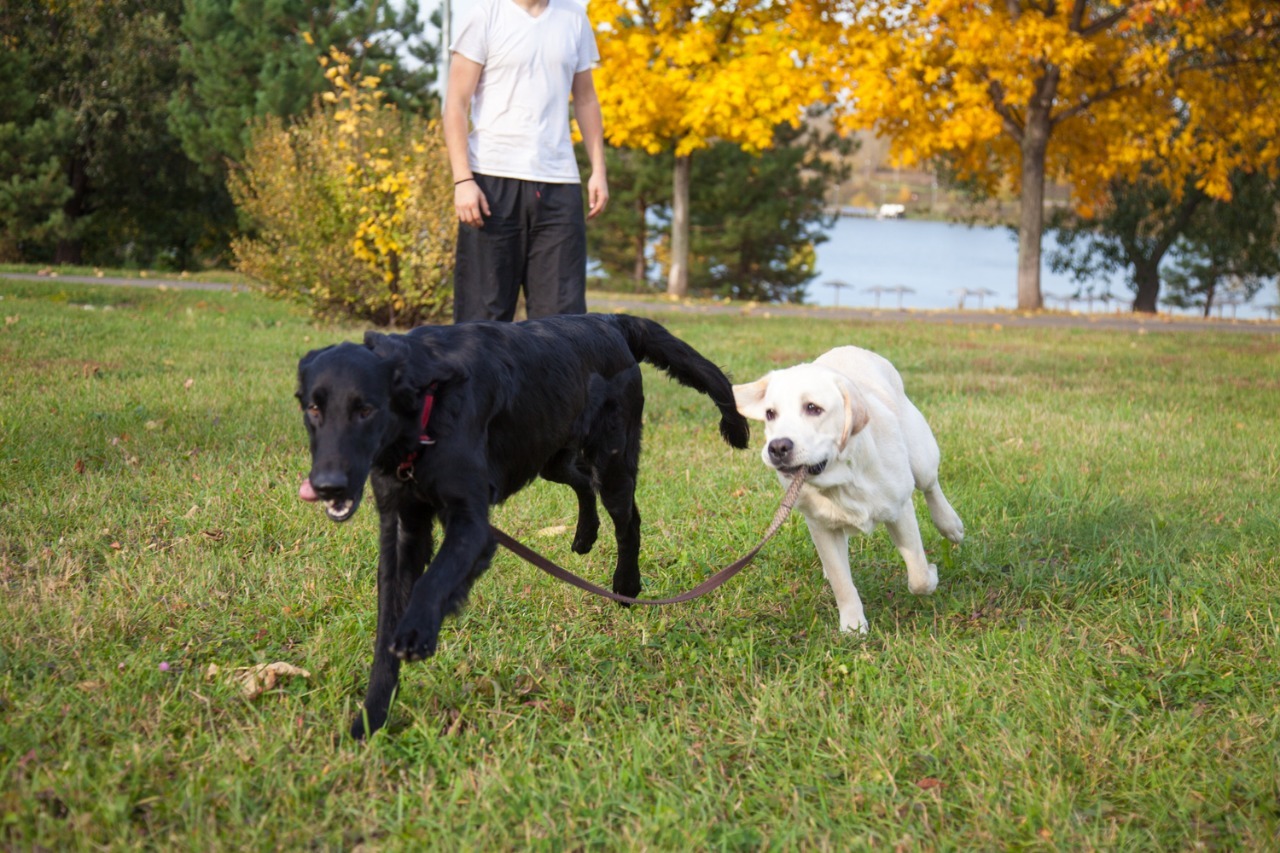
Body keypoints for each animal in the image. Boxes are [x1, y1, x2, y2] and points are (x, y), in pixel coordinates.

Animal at [295, 315, 747, 732]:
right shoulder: (400, 524)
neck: (425, 410)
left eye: (366, 409)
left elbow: (434, 580)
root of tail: (609, 320)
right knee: (581, 482)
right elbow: (388, 620)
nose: (327, 485)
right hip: (549, 454)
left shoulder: (472, 522)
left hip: (612, 463)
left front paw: (417, 631)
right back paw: (585, 535)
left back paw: (626, 585)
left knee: (628, 520)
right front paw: (372, 715)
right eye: (313, 409)